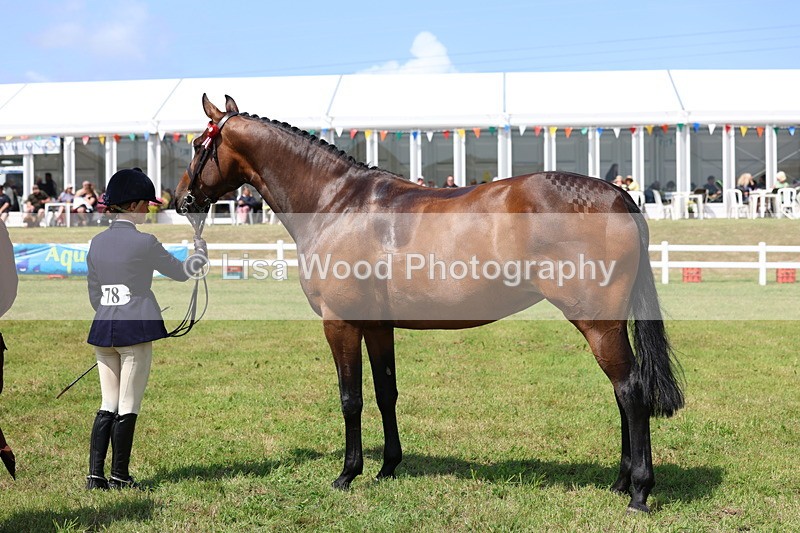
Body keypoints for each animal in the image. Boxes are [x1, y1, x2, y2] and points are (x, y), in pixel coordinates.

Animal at [175, 94, 684, 512]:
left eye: (199, 145)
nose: (181, 199)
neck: (336, 204)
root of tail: (618, 195)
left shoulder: (341, 323)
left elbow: (350, 398)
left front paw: (347, 474)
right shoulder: (378, 325)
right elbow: (386, 392)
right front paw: (387, 468)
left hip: (598, 323)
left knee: (630, 390)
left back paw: (639, 493)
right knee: (622, 392)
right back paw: (620, 483)